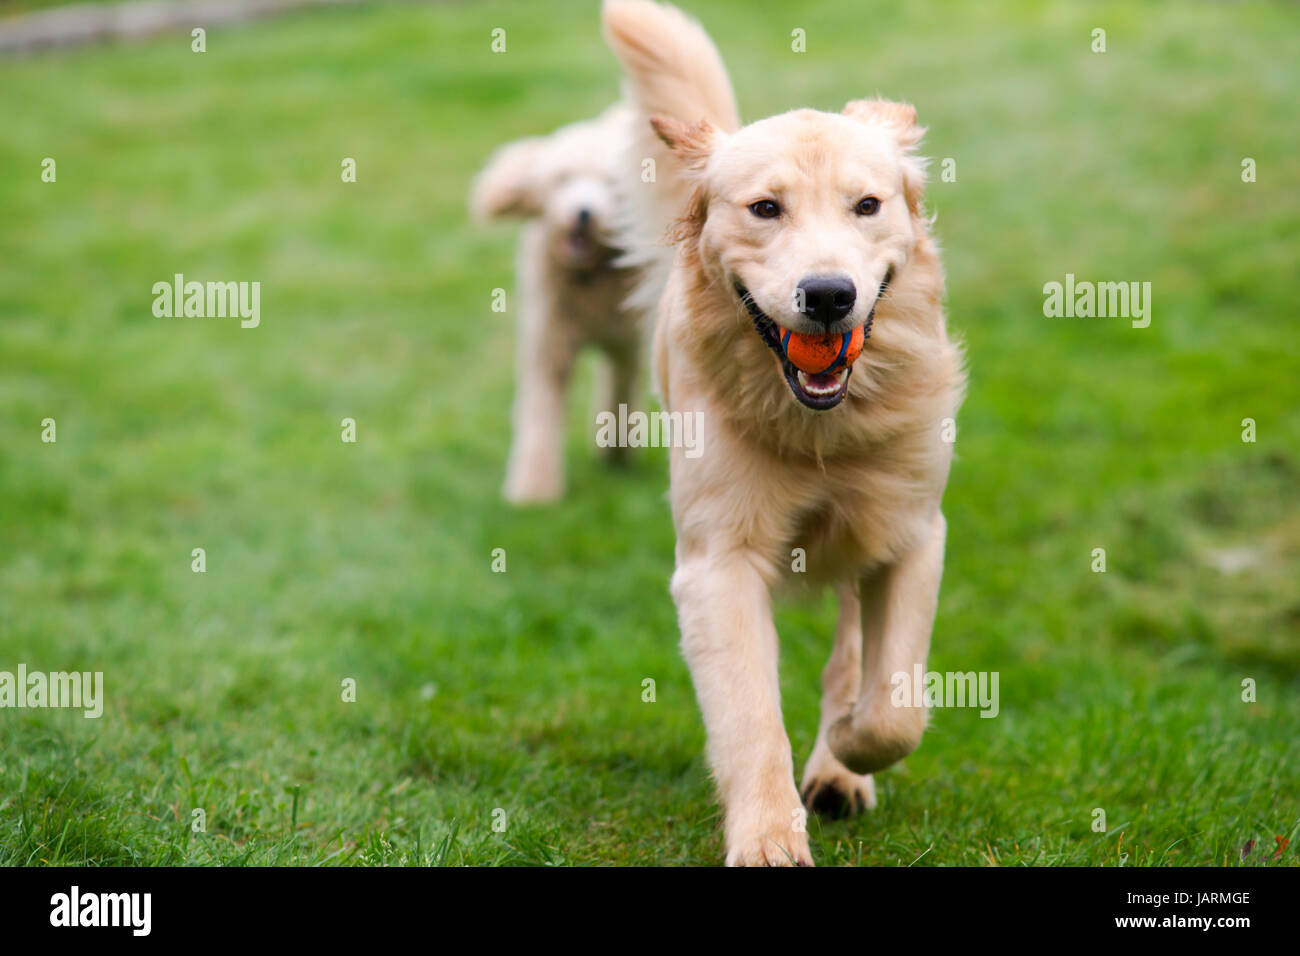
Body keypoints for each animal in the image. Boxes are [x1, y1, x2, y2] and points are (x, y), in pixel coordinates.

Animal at [473, 104, 644, 504]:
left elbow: (621, 391)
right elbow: (540, 411)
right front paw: (533, 492)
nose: (584, 213)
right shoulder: (547, 343)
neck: (590, 276)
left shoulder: (627, 342)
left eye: (610, 185)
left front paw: (615, 450)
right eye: (563, 179)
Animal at [605, 1, 967, 868]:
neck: (821, 429)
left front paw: (848, 747)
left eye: (867, 206)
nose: (829, 295)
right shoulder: (718, 564)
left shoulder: (912, 533)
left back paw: (838, 765)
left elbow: (894, 706)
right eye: (765, 208)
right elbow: (750, 720)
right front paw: (768, 835)